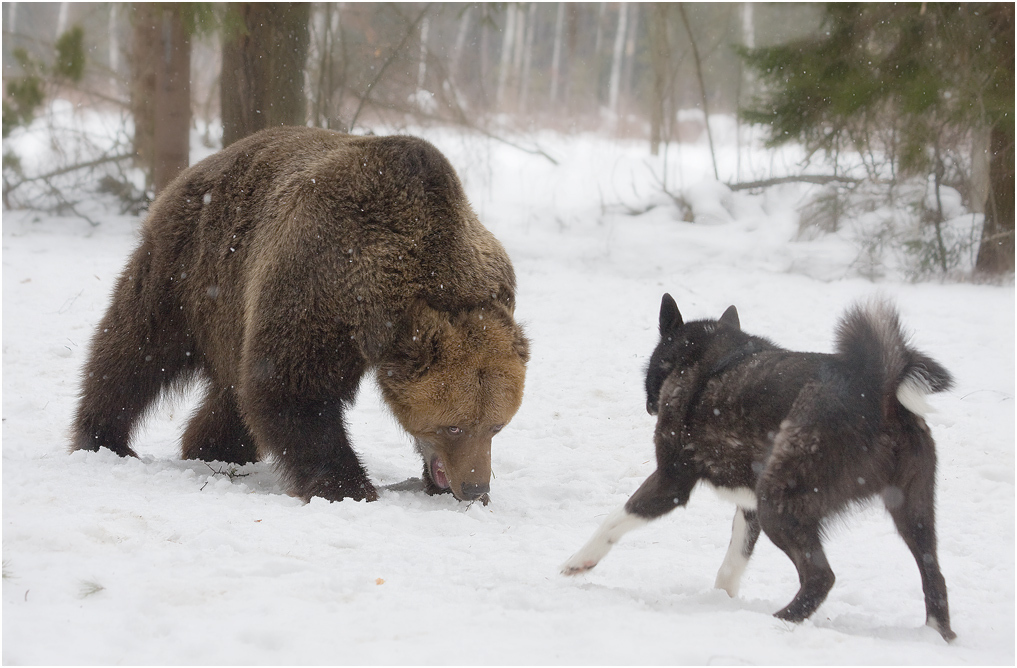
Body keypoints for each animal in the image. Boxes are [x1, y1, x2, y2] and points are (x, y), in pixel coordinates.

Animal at [70, 125, 528, 502]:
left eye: (495, 426)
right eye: (454, 425)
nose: (475, 488)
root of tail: (200, 165)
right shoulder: (318, 283)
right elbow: (291, 390)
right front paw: (348, 485)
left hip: (231, 309)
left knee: (231, 385)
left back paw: (216, 447)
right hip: (189, 265)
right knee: (137, 348)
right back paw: (103, 436)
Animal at [565, 294, 951, 642]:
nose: (648, 403)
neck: (698, 352)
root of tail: (878, 393)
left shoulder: (671, 482)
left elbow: (613, 521)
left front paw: (579, 561)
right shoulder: (748, 505)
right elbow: (733, 563)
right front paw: (720, 600)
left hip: (778, 505)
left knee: (820, 577)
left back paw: (779, 621)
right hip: (911, 512)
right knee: (934, 575)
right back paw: (937, 635)